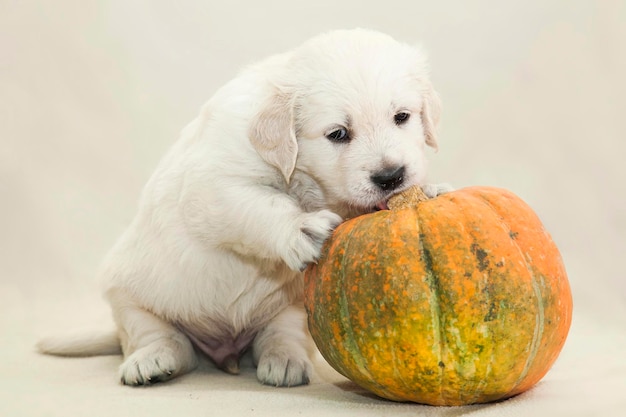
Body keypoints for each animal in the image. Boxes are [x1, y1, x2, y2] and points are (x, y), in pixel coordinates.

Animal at [37, 28, 438, 386]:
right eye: (338, 134)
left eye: (402, 117)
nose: (391, 177)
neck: (304, 180)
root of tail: (223, 350)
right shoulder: (216, 186)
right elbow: (262, 205)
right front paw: (300, 228)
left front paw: (431, 189)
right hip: (127, 296)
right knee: (161, 338)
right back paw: (151, 361)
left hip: (292, 307)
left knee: (280, 334)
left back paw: (284, 360)